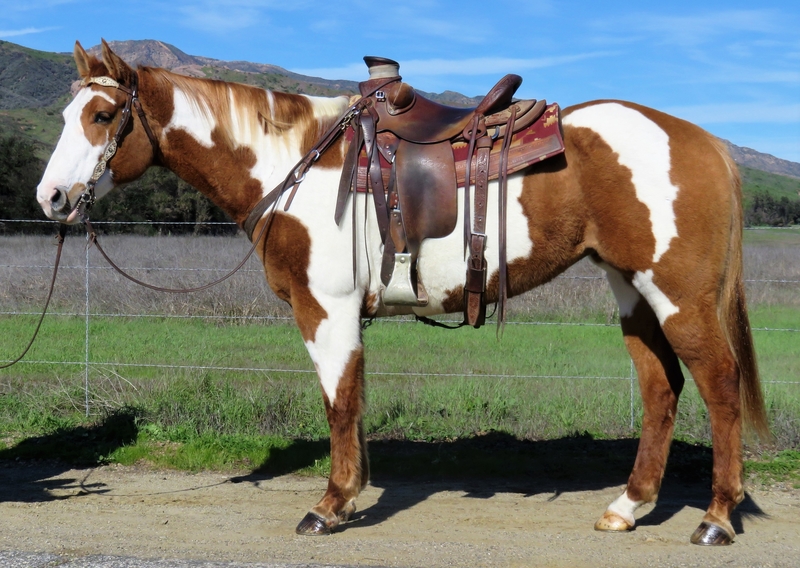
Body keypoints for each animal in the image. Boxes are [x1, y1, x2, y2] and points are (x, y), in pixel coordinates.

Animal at [37, 40, 769, 545]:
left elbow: (337, 403)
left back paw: (715, 519)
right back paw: (628, 506)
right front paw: (352, 494)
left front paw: (329, 507)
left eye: (103, 113)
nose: (50, 198)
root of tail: (705, 141)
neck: (290, 165)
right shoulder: (342, 315)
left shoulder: (324, 309)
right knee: (660, 387)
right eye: (68, 112)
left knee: (720, 385)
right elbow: (354, 403)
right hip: (633, 290)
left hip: (679, 295)